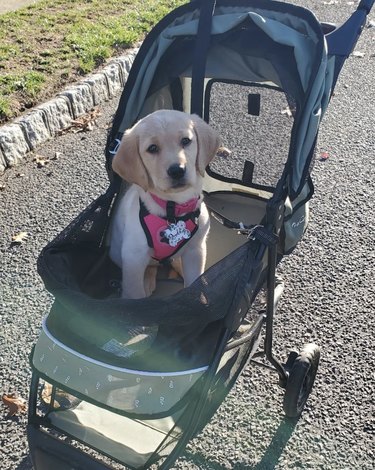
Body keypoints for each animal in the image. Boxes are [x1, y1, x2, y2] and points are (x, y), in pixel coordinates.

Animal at [108, 111, 220, 298]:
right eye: (152, 148)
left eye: (186, 141)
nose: (177, 170)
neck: (174, 208)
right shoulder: (133, 258)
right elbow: (134, 293)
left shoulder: (195, 250)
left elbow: (194, 283)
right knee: (151, 266)